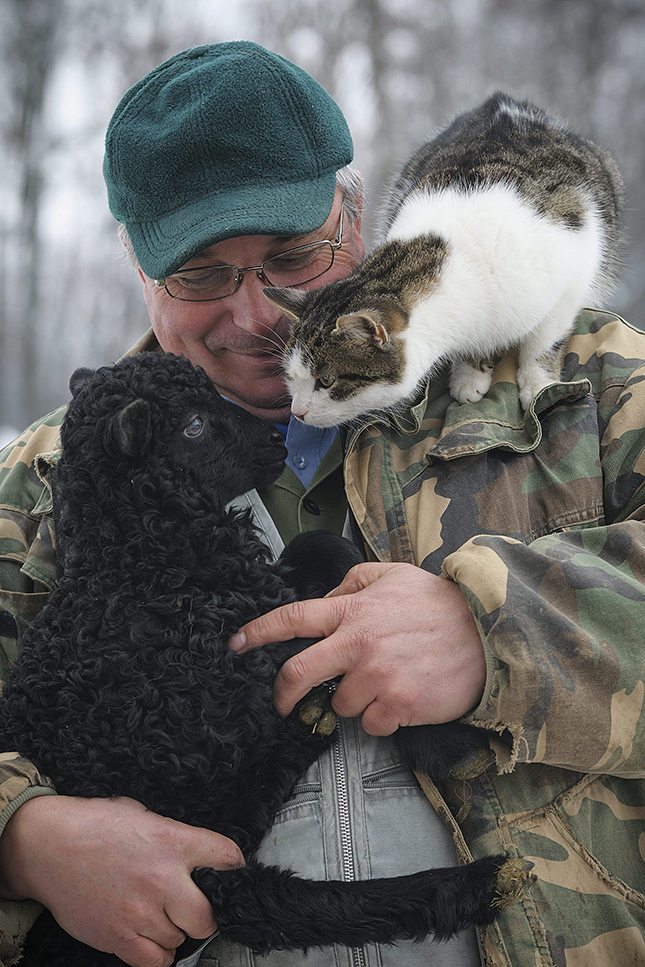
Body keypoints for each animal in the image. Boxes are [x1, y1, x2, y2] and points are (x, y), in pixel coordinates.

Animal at [264, 93, 620, 428]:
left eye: (326, 381)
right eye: (292, 377)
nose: (298, 412)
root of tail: (502, 106)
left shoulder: (575, 262)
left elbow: (545, 339)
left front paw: (540, 384)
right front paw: (469, 372)